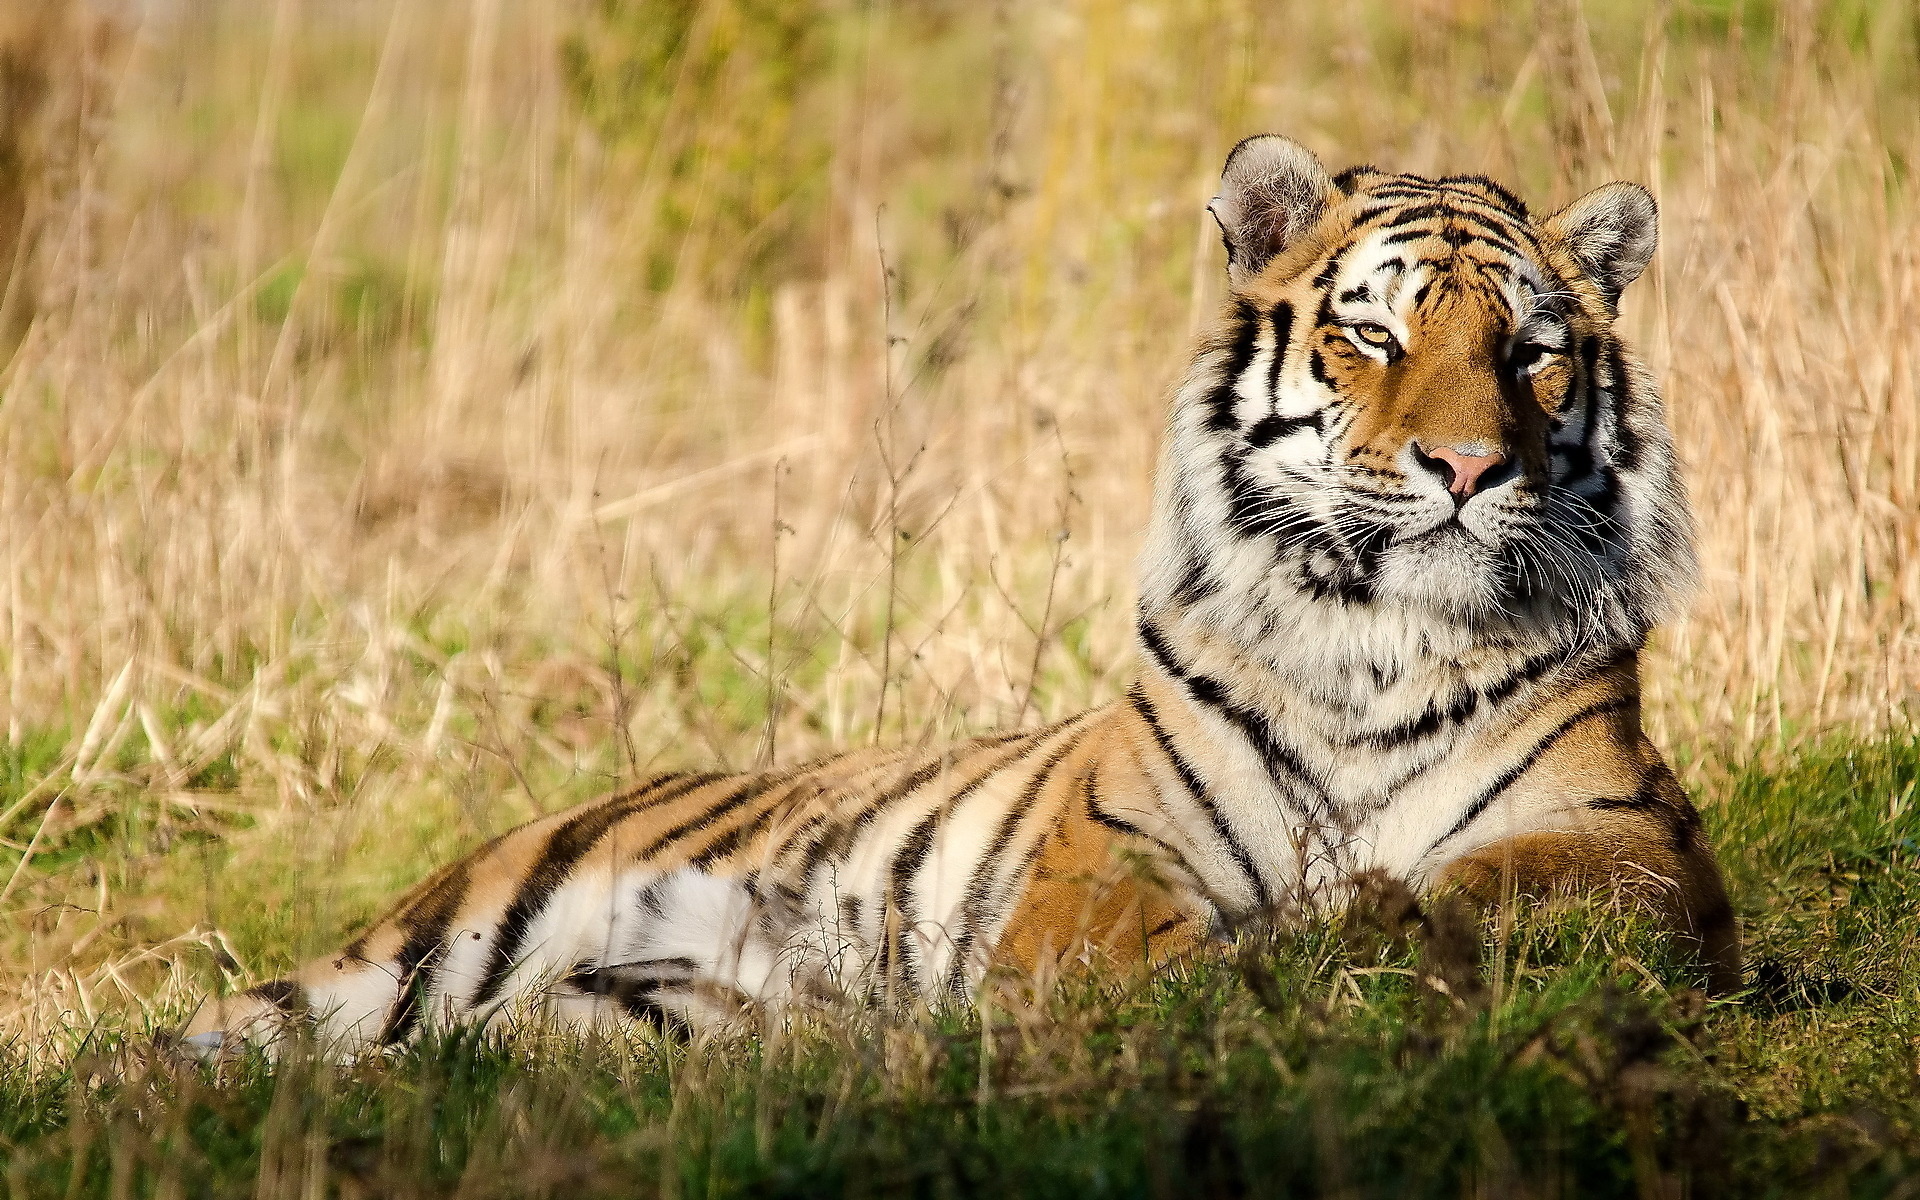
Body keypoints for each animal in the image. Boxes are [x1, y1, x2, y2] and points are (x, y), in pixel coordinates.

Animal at [180, 133, 1743, 1059]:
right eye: (1375, 336)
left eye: (1532, 352)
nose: (1470, 466)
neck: (1377, 637)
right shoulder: (1106, 855)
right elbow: (1141, 944)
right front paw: (1270, 953)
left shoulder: (1636, 839)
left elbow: (1499, 884)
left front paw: (1363, 919)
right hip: (424, 952)